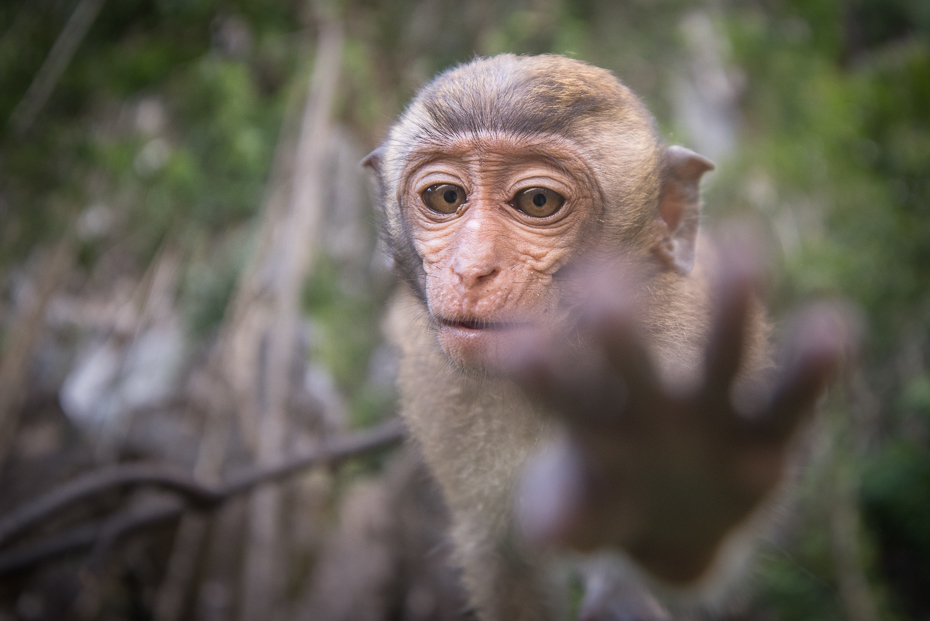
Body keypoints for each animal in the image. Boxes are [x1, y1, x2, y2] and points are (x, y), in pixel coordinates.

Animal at [362, 54, 848, 620]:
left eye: (537, 200)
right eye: (445, 196)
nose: (471, 269)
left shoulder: (681, 356)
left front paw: (680, 487)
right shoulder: (441, 390)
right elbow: (505, 560)